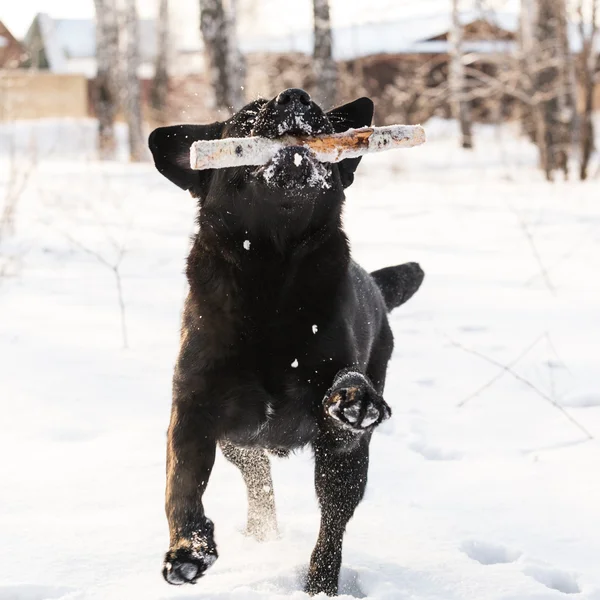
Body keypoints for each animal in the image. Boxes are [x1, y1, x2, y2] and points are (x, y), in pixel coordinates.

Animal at [148, 88, 424, 596]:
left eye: (317, 113)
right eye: (246, 115)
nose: (295, 96)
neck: (271, 277)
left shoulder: (337, 426)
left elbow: (344, 379)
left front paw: (353, 399)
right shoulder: (194, 409)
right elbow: (181, 487)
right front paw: (188, 550)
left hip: (347, 464)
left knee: (332, 526)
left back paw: (320, 583)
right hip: (241, 446)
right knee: (260, 486)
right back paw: (261, 536)